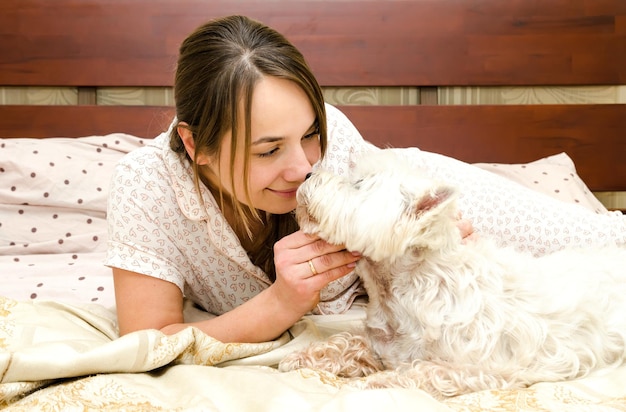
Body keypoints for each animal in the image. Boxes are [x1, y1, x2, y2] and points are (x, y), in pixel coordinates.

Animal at [278, 150, 624, 398]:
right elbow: (345, 343)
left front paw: (366, 384)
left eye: (359, 184)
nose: (307, 173)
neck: (402, 291)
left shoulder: (480, 370)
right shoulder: (382, 346)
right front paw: (300, 358)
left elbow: (417, 373)